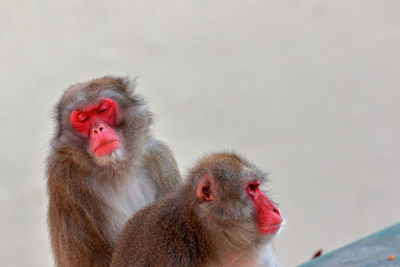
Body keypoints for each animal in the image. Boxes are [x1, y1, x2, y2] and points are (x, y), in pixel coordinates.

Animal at [45, 76, 181, 266]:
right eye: (83, 118)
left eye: (102, 110)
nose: (98, 129)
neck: (116, 169)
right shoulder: (63, 177)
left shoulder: (161, 159)